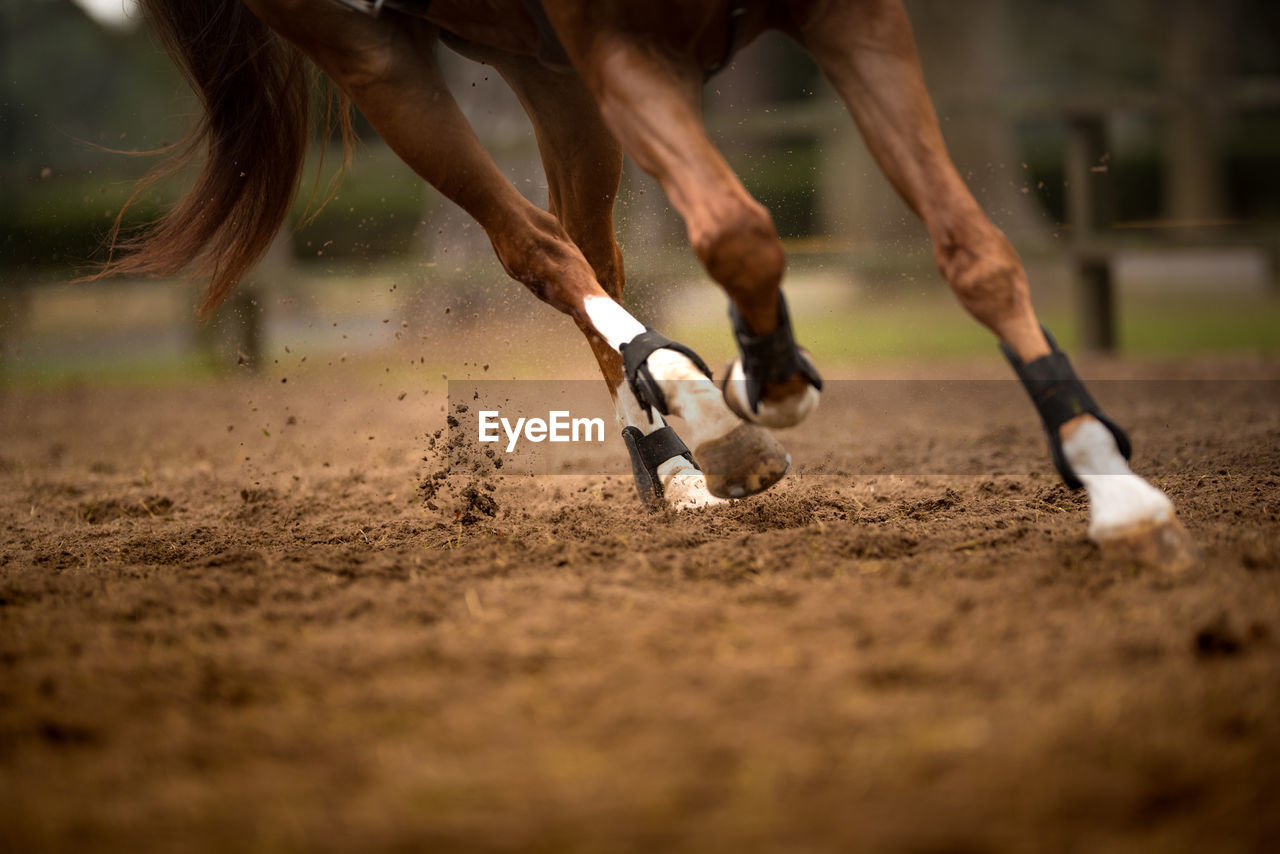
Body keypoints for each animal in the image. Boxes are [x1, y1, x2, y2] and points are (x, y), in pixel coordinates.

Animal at [97, 1, 1198, 573]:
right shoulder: (614, 40)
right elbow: (736, 232)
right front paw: (752, 387)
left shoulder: (851, 14)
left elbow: (973, 248)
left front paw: (1108, 476)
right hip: (376, 52)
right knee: (536, 246)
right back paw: (697, 414)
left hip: (542, 69)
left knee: (586, 248)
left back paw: (671, 462)